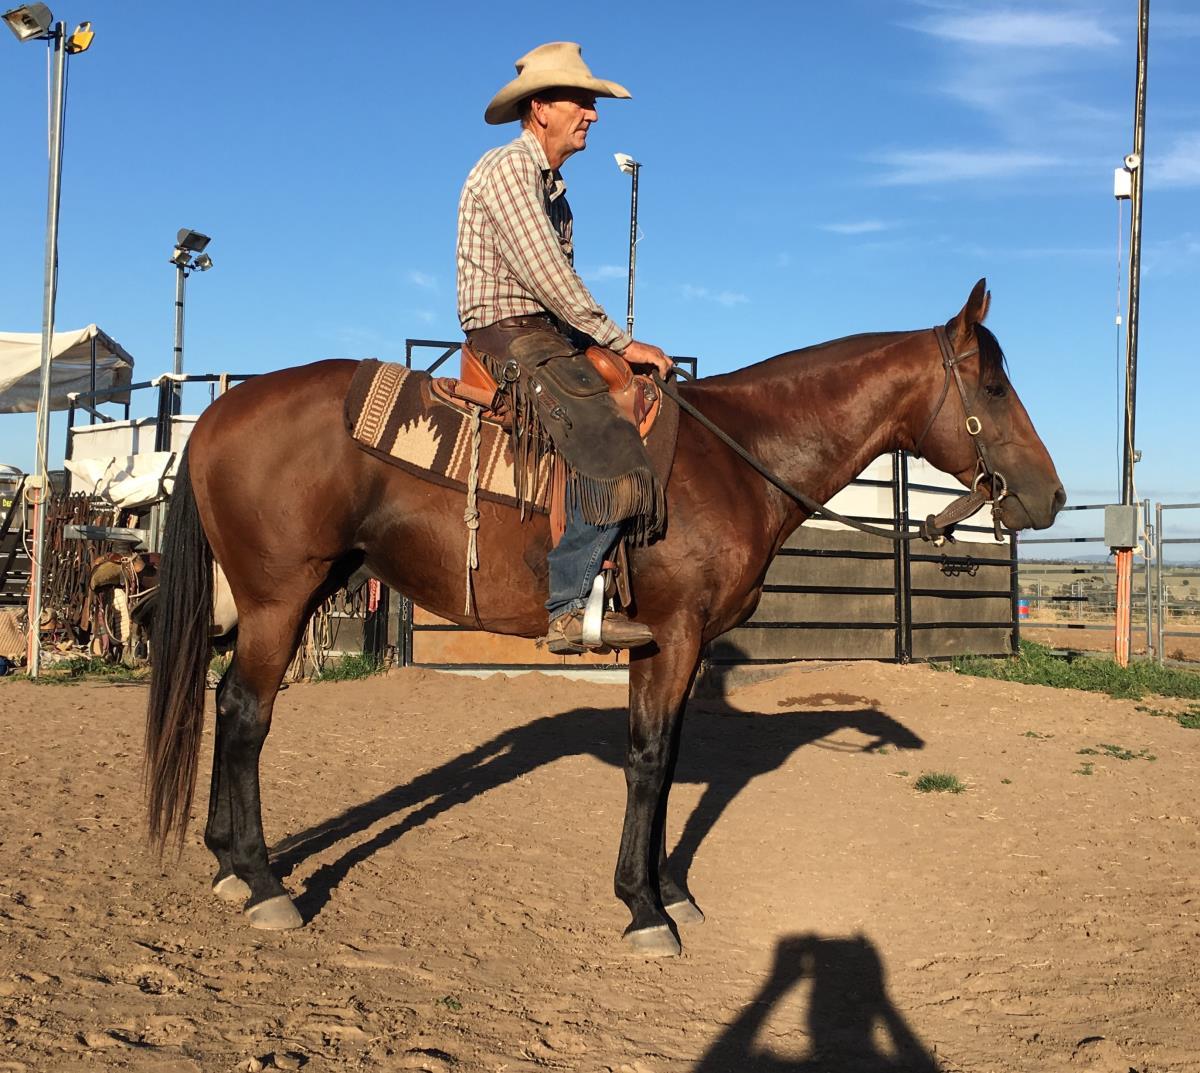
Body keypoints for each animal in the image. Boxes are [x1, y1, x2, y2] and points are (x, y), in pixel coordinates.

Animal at [145, 279, 1064, 957]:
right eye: (992, 383)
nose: (1050, 495)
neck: (734, 459)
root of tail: (218, 414)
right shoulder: (675, 633)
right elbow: (649, 761)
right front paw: (643, 908)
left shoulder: (672, 645)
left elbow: (667, 756)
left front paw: (672, 891)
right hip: (279, 597)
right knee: (246, 713)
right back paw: (264, 884)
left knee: (229, 705)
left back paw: (228, 864)